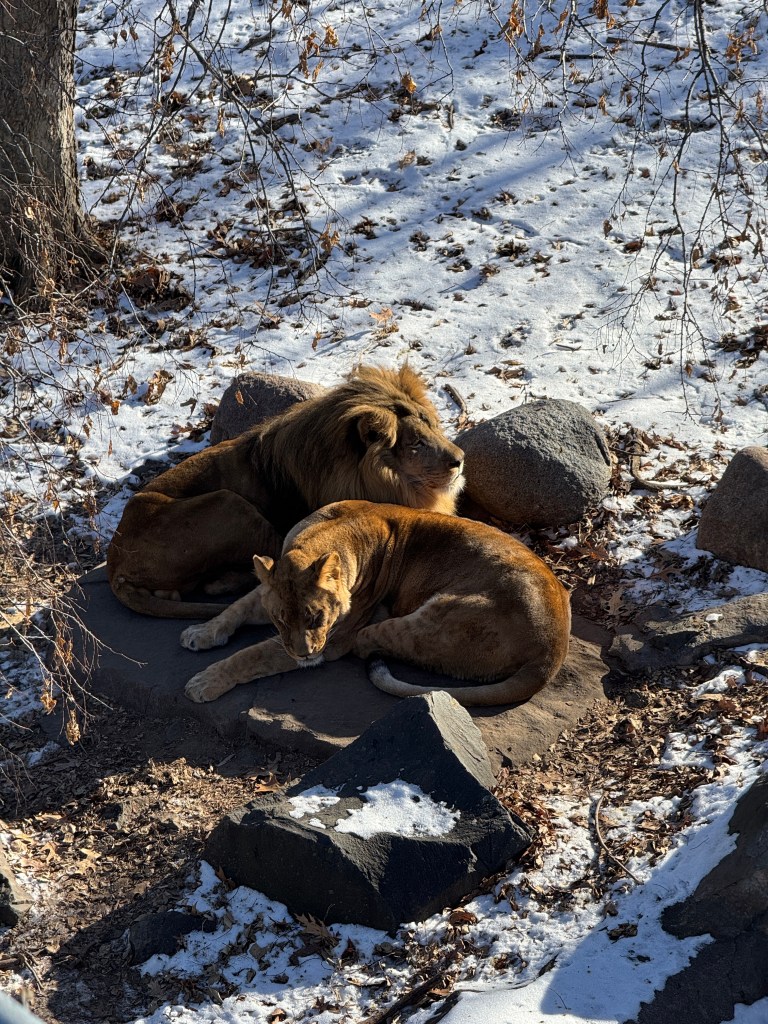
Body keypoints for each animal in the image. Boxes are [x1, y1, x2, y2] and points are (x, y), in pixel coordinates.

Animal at [180, 500, 571, 707]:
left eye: (316, 617)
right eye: (281, 620)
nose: (305, 654)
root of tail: (551, 653)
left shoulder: (331, 641)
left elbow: (254, 654)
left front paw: (206, 681)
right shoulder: (270, 591)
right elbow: (237, 608)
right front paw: (202, 632)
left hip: (425, 622)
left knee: (370, 644)